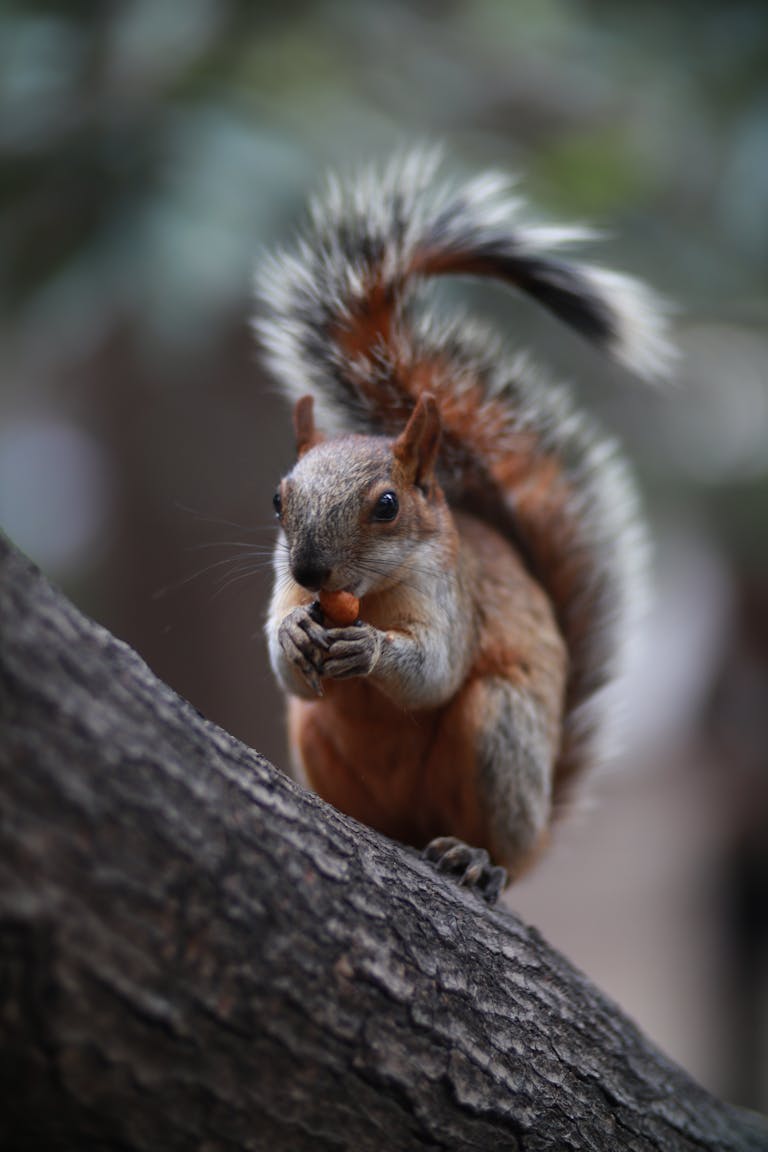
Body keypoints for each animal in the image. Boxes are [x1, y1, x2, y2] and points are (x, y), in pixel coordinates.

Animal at [255, 150, 671, 900]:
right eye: (279, 499)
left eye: (387, 505)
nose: (309, 569)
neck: (369, 592)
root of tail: (539, 831)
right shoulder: (283, 591)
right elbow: (287, 667)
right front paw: (296, 632)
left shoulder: (454, 597)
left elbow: (435, 671)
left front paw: (372, 648)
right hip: (315, 736)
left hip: (498, 730)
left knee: (493, 829)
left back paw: (478, 857)